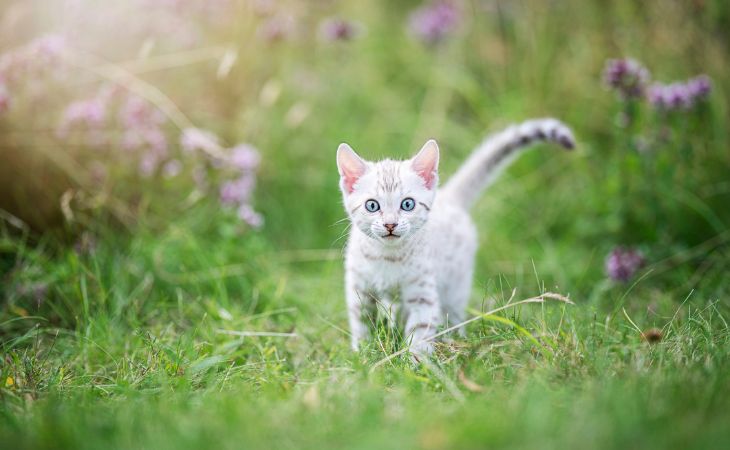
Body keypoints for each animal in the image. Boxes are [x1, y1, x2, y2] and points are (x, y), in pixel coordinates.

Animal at [336, 118, 576, 358]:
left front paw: (417, 361)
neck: (388, 257)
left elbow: (420, 328)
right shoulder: (359, 289)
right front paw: (363, 354)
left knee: (452, 314)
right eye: (372, 206)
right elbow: (362, 323)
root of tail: (449, 196)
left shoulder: (422, 293)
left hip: (456, 286)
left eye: (407, 204)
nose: (390, 224)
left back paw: (454, 338)